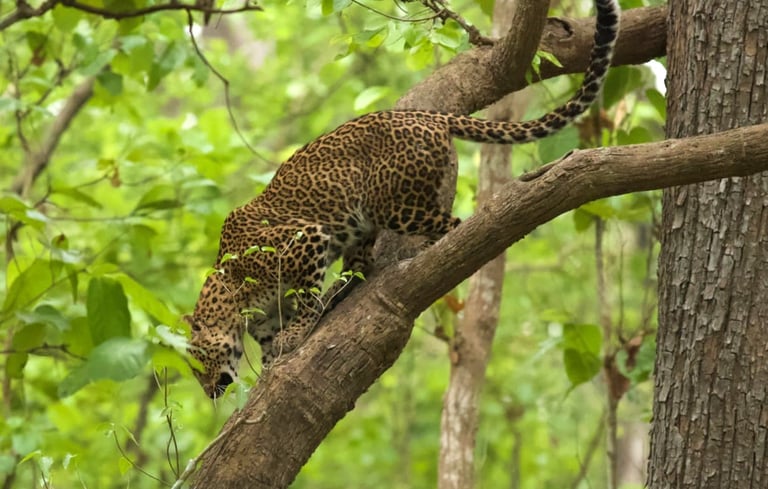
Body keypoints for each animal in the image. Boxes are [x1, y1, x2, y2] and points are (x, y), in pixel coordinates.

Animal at [186, 0, 620, 398]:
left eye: (196, 363)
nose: (208, 392)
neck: (234, 299)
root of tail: (429, 116)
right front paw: (275, 351)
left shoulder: (304, 240)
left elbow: (304, 300)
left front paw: (294, 335)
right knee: (362, 261)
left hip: (393, 207)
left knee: (453, 227)